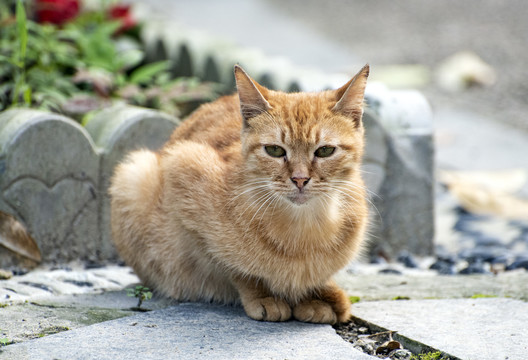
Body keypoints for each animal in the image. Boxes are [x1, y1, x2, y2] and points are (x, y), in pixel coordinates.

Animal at [109, 64, 370, 324]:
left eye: (325, 151)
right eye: (274, 150)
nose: (299, 179)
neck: (303, 230)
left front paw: (314, 296)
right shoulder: (182, 170)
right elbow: (235, 268)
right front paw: (262, 295)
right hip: (135, 175)